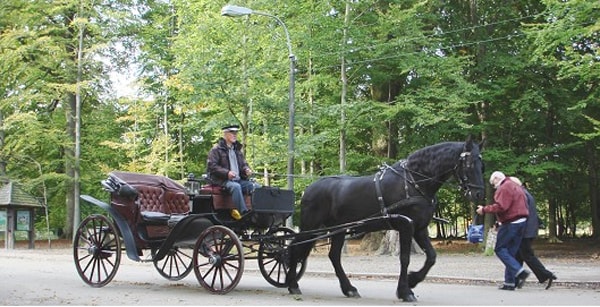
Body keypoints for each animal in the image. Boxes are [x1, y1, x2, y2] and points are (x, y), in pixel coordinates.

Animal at [284, 137, 486, 304]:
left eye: (481, 164)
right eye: (469, 164)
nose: (478, 194)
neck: (413, 182)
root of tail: (310, 187)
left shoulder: (419, 228)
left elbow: (431, 257)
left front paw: (413, 281)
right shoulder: (406, 226)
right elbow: (405, 258)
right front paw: (405, 291)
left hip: (338, 229)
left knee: (332, 256)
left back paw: (348, 288)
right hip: (311, 226)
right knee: (294, 247)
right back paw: (293, 284)